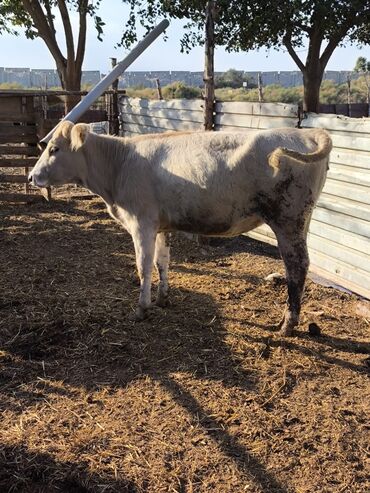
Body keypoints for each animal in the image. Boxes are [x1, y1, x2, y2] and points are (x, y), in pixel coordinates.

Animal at [28, 122, 330, 334]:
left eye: (54, 149)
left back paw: (287, 325)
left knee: (297, 267)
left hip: (288, 220)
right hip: (299, 221)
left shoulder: (142, 223)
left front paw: (141, 309)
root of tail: (307, 132)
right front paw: (162, 298)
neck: (119, 165)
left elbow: (143, 266)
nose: (31, 176)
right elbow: (162, 262)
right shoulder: (161, 225)